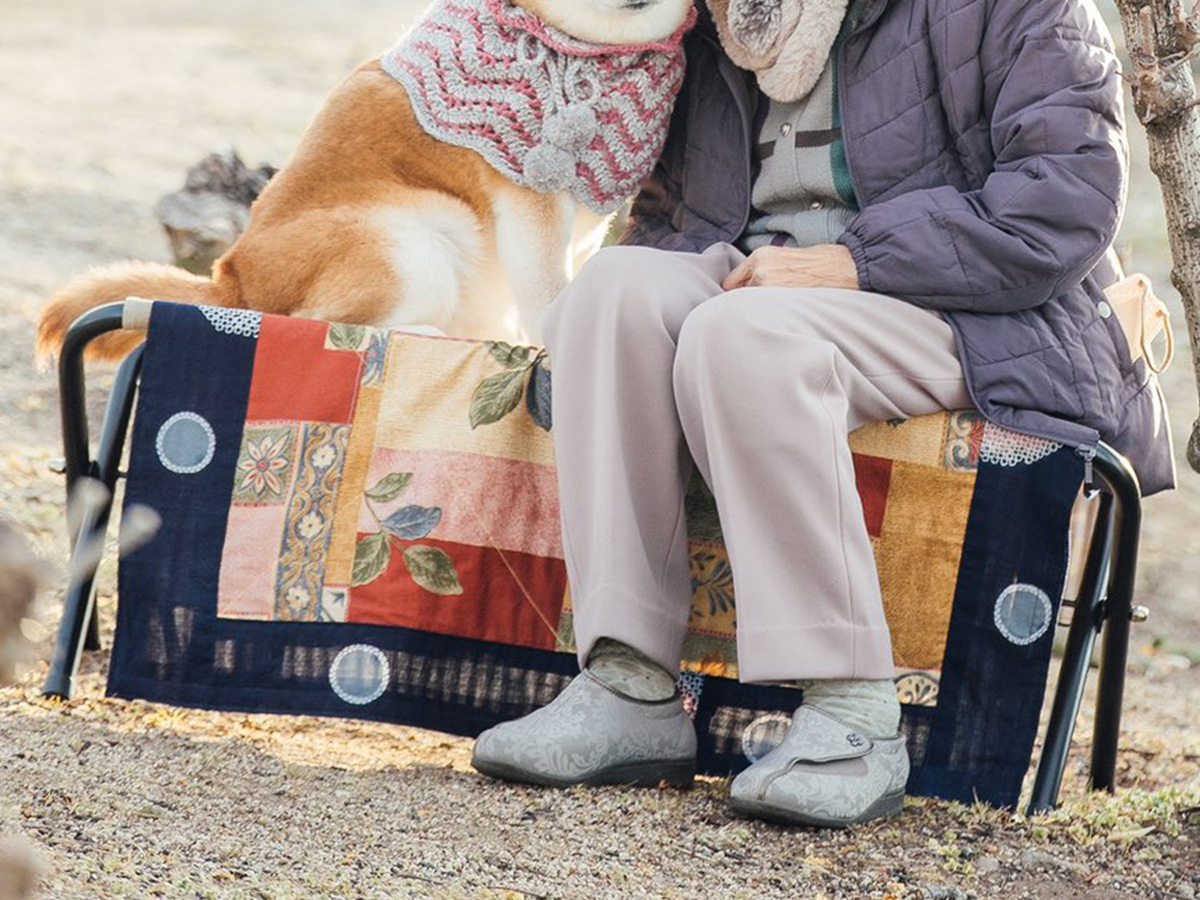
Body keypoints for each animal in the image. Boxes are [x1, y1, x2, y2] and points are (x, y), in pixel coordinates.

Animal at [37, 0, 696, 360]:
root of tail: (232, 281)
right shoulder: (528, 203)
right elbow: (552, 296)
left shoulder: (585, 227)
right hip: (409, 244)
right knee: (310, 326)